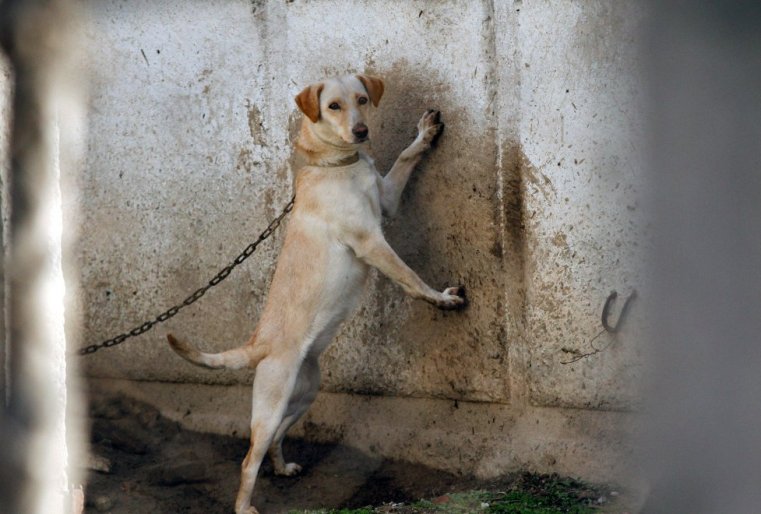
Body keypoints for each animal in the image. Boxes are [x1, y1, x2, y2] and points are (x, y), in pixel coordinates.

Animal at [166, 73, 464, 512]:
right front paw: (440, 298)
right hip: (272, 403)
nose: (361, 131)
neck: (336, 164)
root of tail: (259, 344)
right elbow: (410, 277)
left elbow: (405, 158)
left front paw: (424, 133)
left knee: (274, 440)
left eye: (361, 99)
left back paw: (282, 466)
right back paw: (245, 505)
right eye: (333, 107)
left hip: (304, 394)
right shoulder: (370, 241)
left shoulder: (387, 202)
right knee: (248, 459)